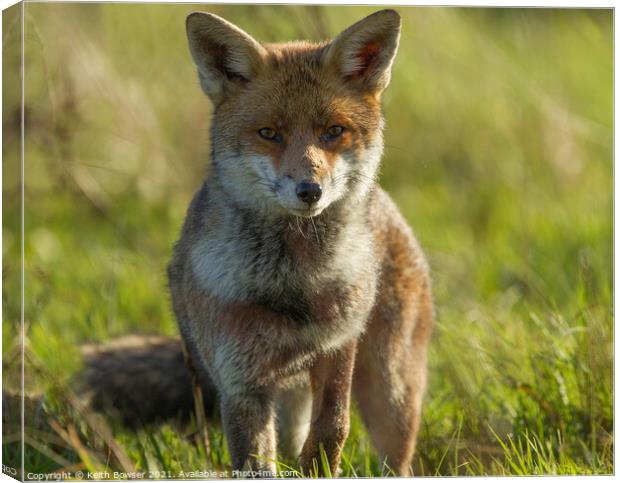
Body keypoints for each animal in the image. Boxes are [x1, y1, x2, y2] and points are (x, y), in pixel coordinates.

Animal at [81, 9, 432, 478]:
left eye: (333, 131)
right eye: (268, 133)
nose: (310, 190)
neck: (292, 287)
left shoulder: (337, 350)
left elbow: (332, 431)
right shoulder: (242, 383)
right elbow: (255, 460)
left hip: (391, 389)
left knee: (395, 457)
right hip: (282, 398)